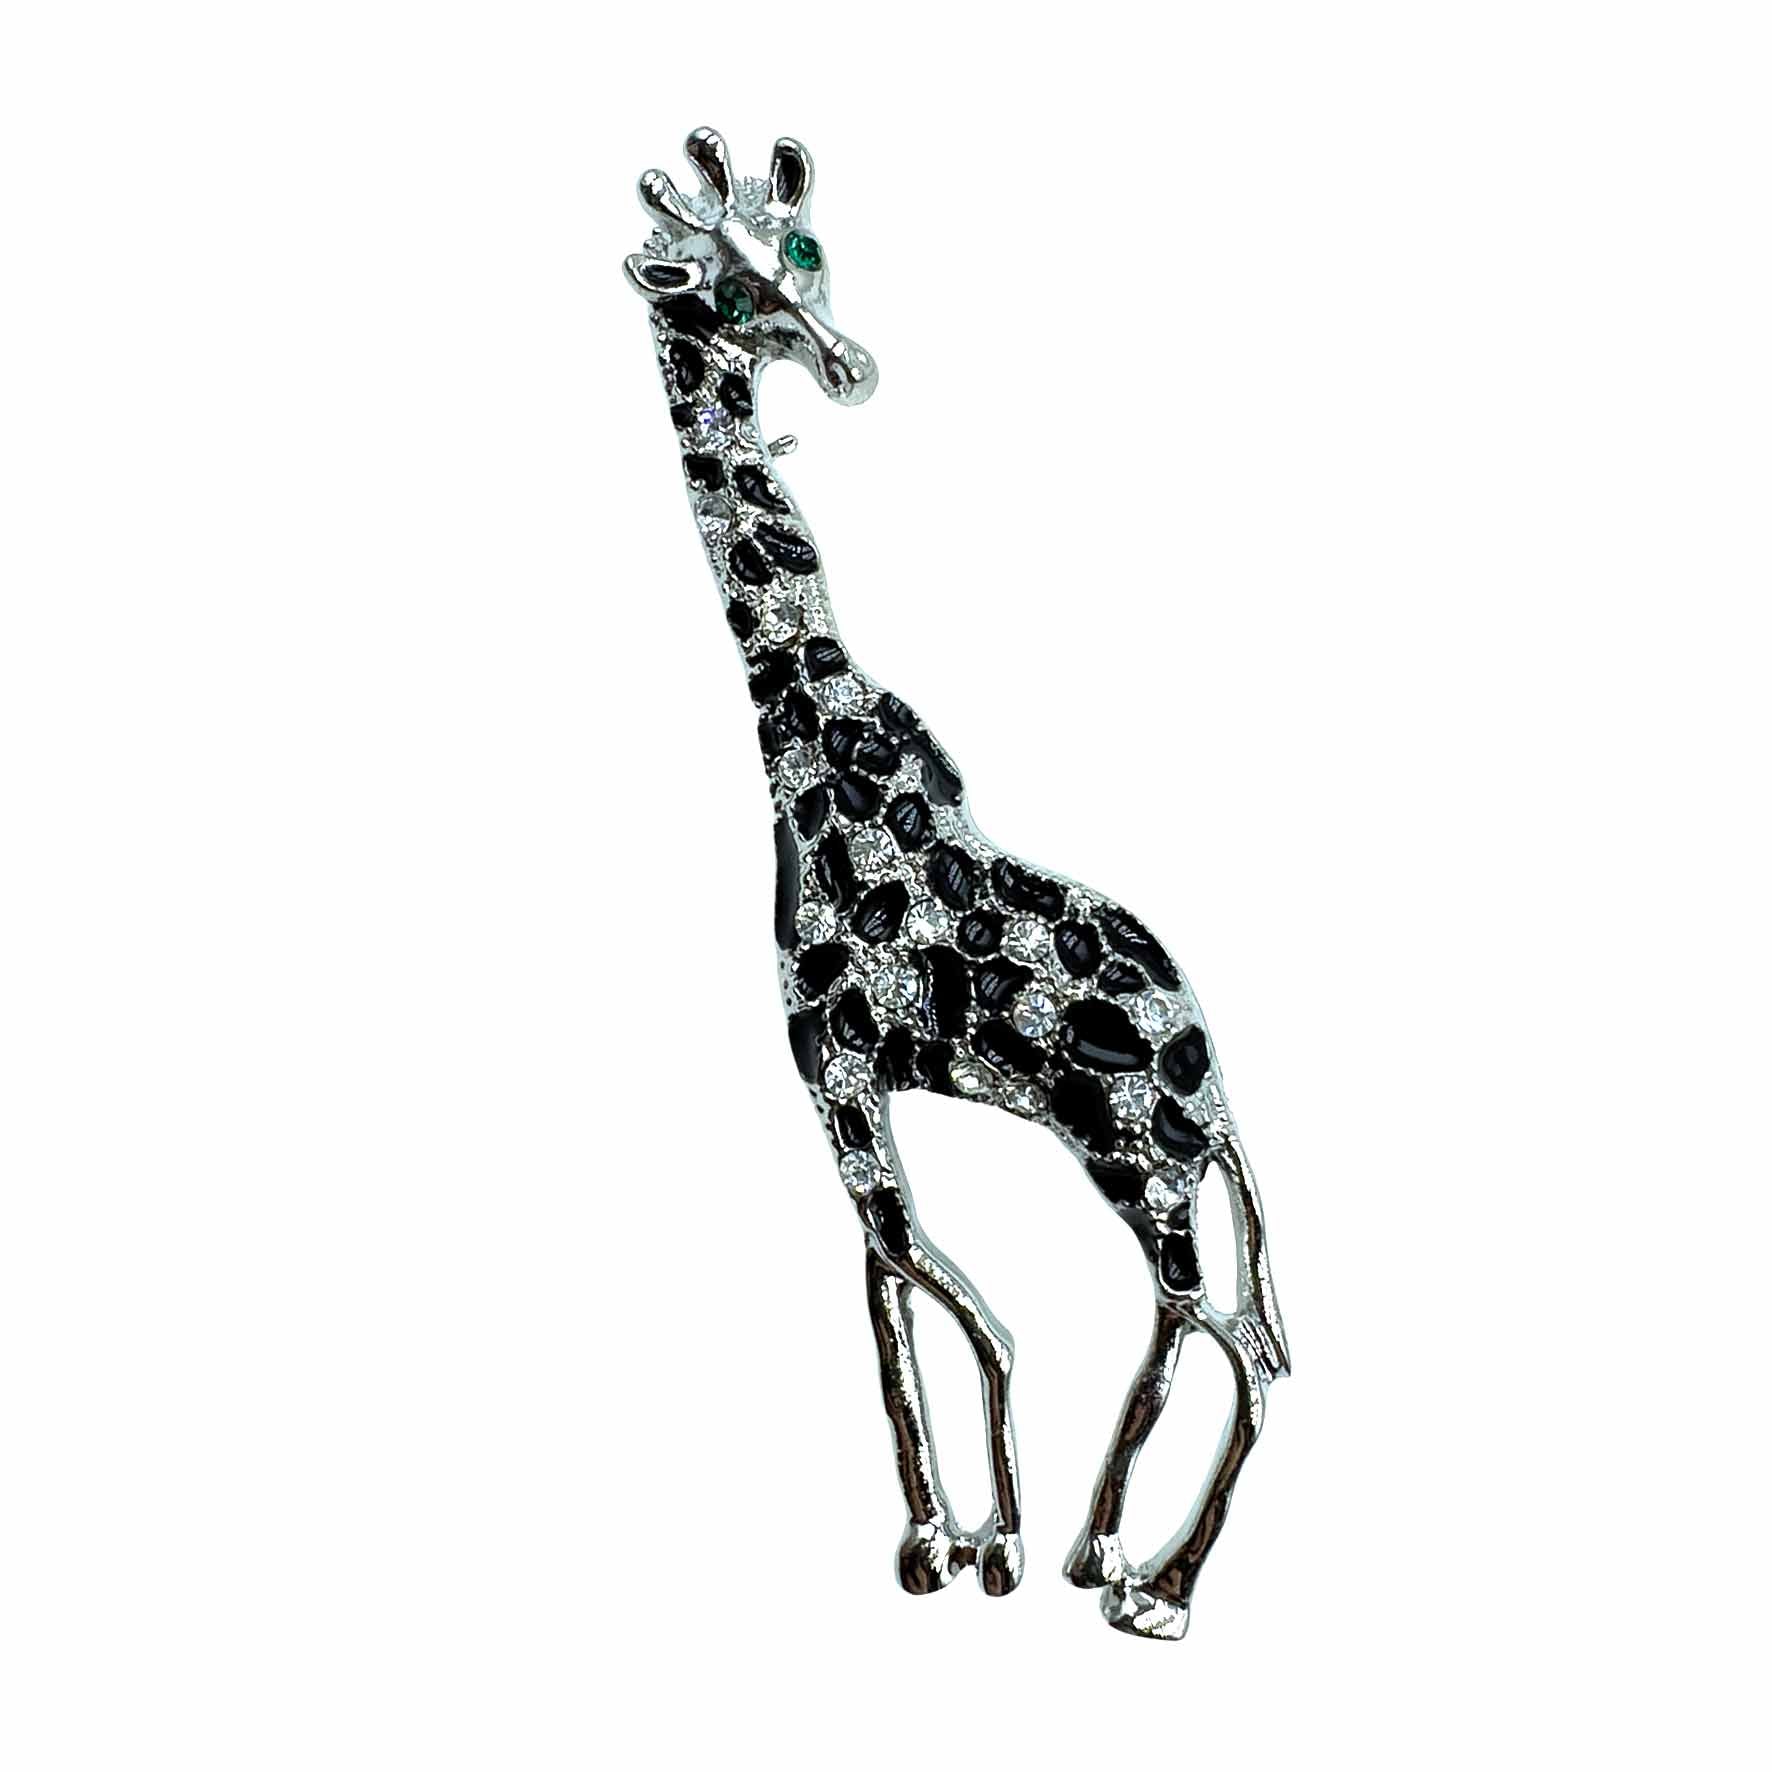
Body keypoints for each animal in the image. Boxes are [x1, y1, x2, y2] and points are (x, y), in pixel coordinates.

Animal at [623, 128, 1289, 1640]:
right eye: (721, 288)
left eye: (803, 254)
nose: (847, 363)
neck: (805, 747)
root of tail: (1212, 1067)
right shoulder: (850, 1092)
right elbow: (903, 1297)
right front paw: (955, 1536)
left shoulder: (834, 1078)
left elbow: (947, 1304)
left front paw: (975, 1541)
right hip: (1158, 1173)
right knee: (1210, 1330)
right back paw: (1106, 1558)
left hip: (1137, 1160)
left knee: (1234, 1341)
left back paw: (1150, 1588)